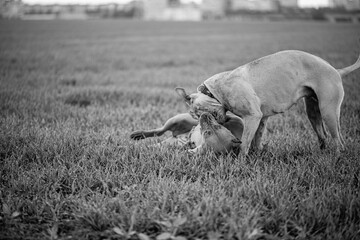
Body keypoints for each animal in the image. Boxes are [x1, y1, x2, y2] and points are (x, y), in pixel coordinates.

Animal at [177, 49, 360, 155]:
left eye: (199, 112)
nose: (203, 119)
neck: (215, 90)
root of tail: (336, 70)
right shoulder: (261, 119)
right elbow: (256, 139)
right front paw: (256, 155)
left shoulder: (253, 116)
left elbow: (245, 143)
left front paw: (240, 162)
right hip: (313, 112)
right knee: (323, 136)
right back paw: (321, 154)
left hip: (328, 111)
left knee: (338, 140)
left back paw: (336, 156)